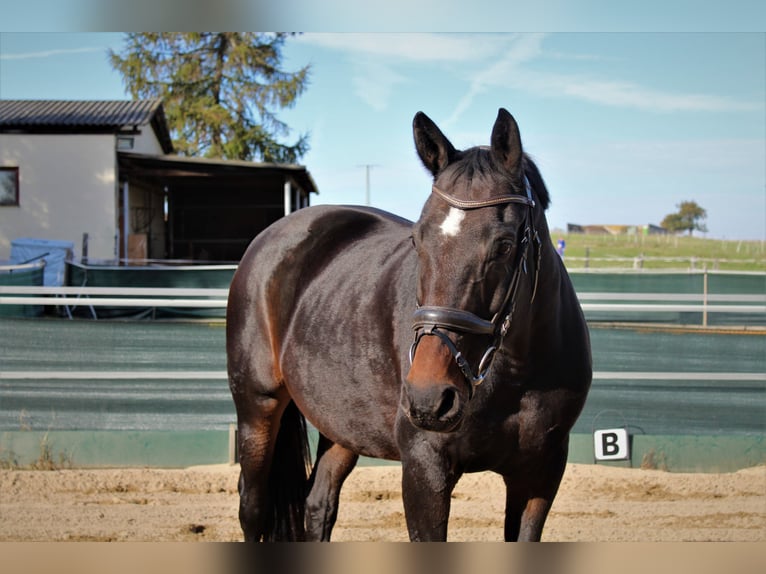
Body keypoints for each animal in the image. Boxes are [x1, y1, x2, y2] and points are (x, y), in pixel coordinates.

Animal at [228, 109, 592, 544]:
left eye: (504, 245)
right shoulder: (424, 469)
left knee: (319, 505)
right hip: (257, 406)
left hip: (340, 426)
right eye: (418, 241)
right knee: (253, 508)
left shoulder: (539, 474)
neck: (517, 375)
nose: (428, 398)